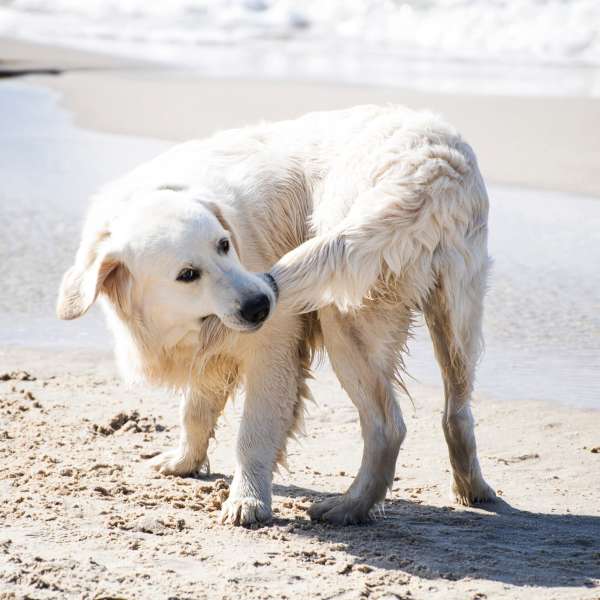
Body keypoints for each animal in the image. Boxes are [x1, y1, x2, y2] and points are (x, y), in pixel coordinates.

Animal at [57, 105, 496, 528]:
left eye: (224, 244)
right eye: (187, 274)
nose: (260, 304)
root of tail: (432, 167)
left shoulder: (274, 348)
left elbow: (253, 433)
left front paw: (247, 500)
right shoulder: (210, 353)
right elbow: (195, 411)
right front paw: (184, 462)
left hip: (344, 316)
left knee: (388, 426)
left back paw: (348, 507)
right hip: (456, 316)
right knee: (457, 413)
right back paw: (472, 489)